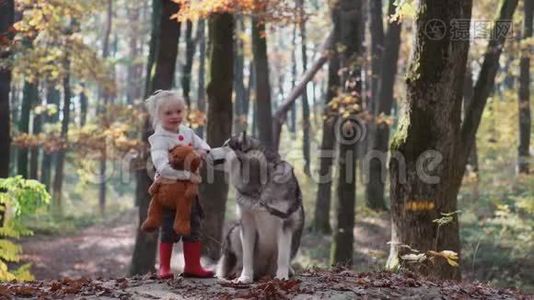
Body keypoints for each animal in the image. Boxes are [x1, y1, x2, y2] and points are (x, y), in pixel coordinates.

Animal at [215, 132, 306, 282]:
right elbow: (247, 256)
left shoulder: (285, 223)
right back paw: (237, 272)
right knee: (239, 261)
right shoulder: (246, 222)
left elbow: (282, 256)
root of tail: (264, 272)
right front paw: (245, 277)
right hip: (235, 231)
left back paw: (287, 271)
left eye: (225, 145)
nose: (206, 150)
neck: (259, 187)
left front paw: (282, 277)